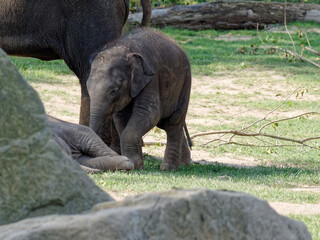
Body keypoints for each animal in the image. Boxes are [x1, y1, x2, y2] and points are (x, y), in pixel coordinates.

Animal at [87, 28, 191, 171]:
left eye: (113, 91)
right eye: (87, 88)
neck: (125, 48)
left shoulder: (151, 78)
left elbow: (149, 114)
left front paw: (132, 164)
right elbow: (120, 117)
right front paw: (134, 164)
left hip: (184, 84)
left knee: (173, 122)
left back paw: (168, 168)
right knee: (166, 124)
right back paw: (184, 164)